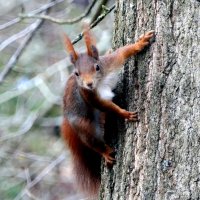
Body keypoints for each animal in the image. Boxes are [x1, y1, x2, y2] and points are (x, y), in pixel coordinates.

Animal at [61, 26, 155, 197]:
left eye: (97, 67)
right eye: (77, 73)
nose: (88, 84)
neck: (100, 82)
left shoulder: (110, 62)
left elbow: (123, 52)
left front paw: (141, 42)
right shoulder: (89, 96)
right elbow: (107, 106)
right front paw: (125, 114)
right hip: (84, 126)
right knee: (92, 142)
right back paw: (105, 151)